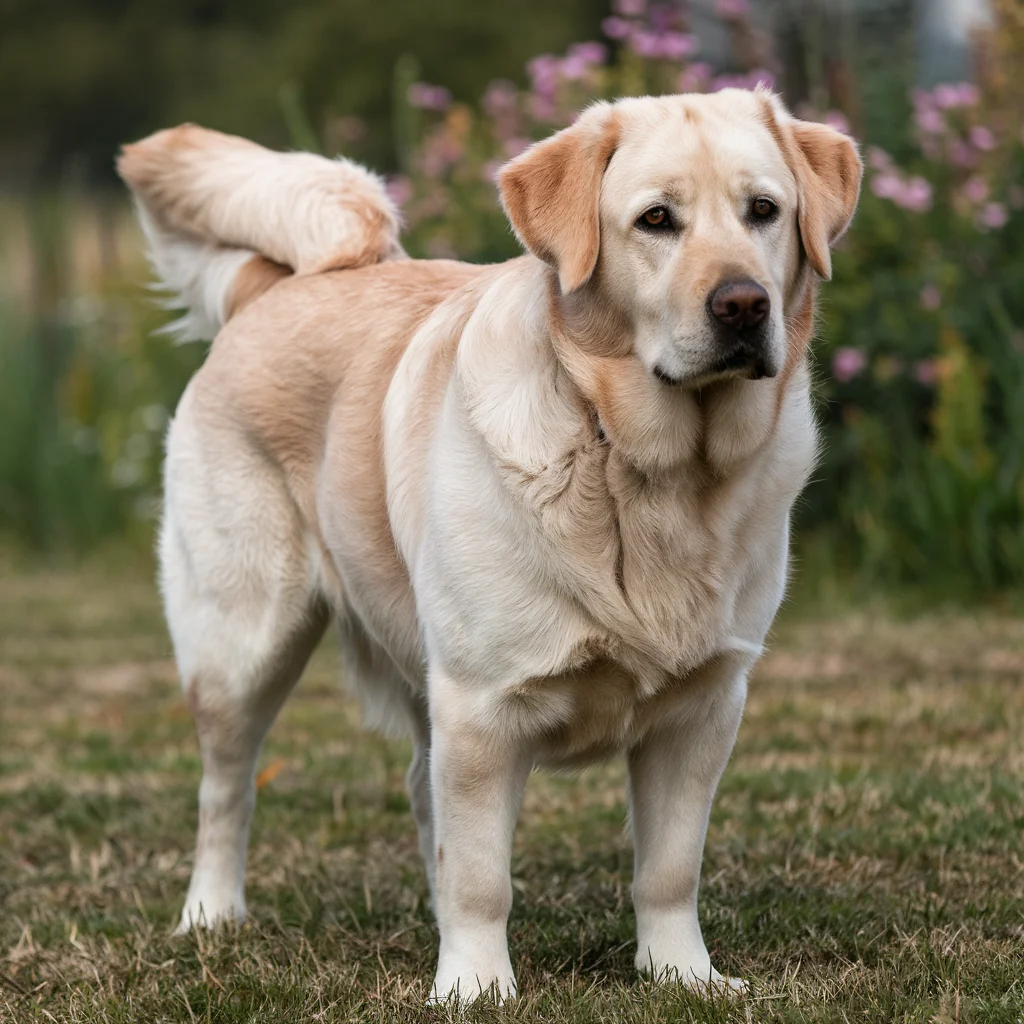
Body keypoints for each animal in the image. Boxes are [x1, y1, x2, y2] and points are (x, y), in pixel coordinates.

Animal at [116, 88, 860, 999]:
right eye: (656, 219)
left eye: (764, 211)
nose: (744, 304)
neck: (640, 467)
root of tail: (277, 287)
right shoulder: (481, 708)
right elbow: (479, 875)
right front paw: (474, 987)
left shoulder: (705, 709)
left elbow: (668, 869)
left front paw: (682, 975)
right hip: (243, 644)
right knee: (226, 788)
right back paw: (210, 916)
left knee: (414, 790)